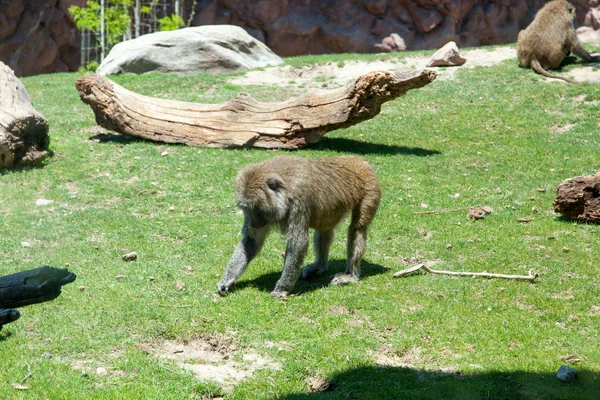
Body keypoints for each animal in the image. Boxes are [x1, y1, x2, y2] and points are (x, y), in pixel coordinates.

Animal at [218, 155, 382, 298]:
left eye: (254, 208)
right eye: (246, 209)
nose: (252, 224)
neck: (283, 187)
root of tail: (359, 161)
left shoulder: (298, 202)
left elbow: (298, 243)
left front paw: (282, 288)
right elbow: (252, 241)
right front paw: (228, 279)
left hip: (370, 188)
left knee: (357, 228)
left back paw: (350, 275)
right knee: (324, 228)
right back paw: (320, 266)